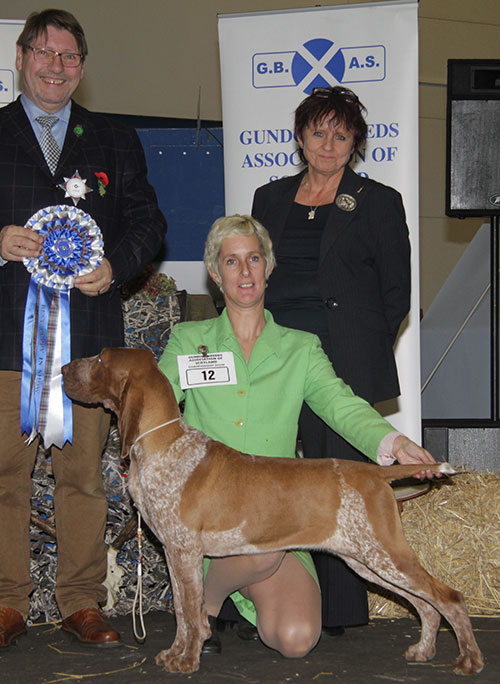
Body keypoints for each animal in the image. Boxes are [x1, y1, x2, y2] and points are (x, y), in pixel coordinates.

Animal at [61, 348, 484, 672]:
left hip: (385, 555)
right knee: (426, 606)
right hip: (367, 561)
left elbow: (191, 614)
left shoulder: (184, 553)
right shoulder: (174, 553)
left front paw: (187, 660)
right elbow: (183, 610)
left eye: (99, 358)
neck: (165, 446)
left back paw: (469, 661)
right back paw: (423, 651)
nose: (63, 369)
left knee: (449, 598)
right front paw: (176, 654)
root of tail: (375, 472)